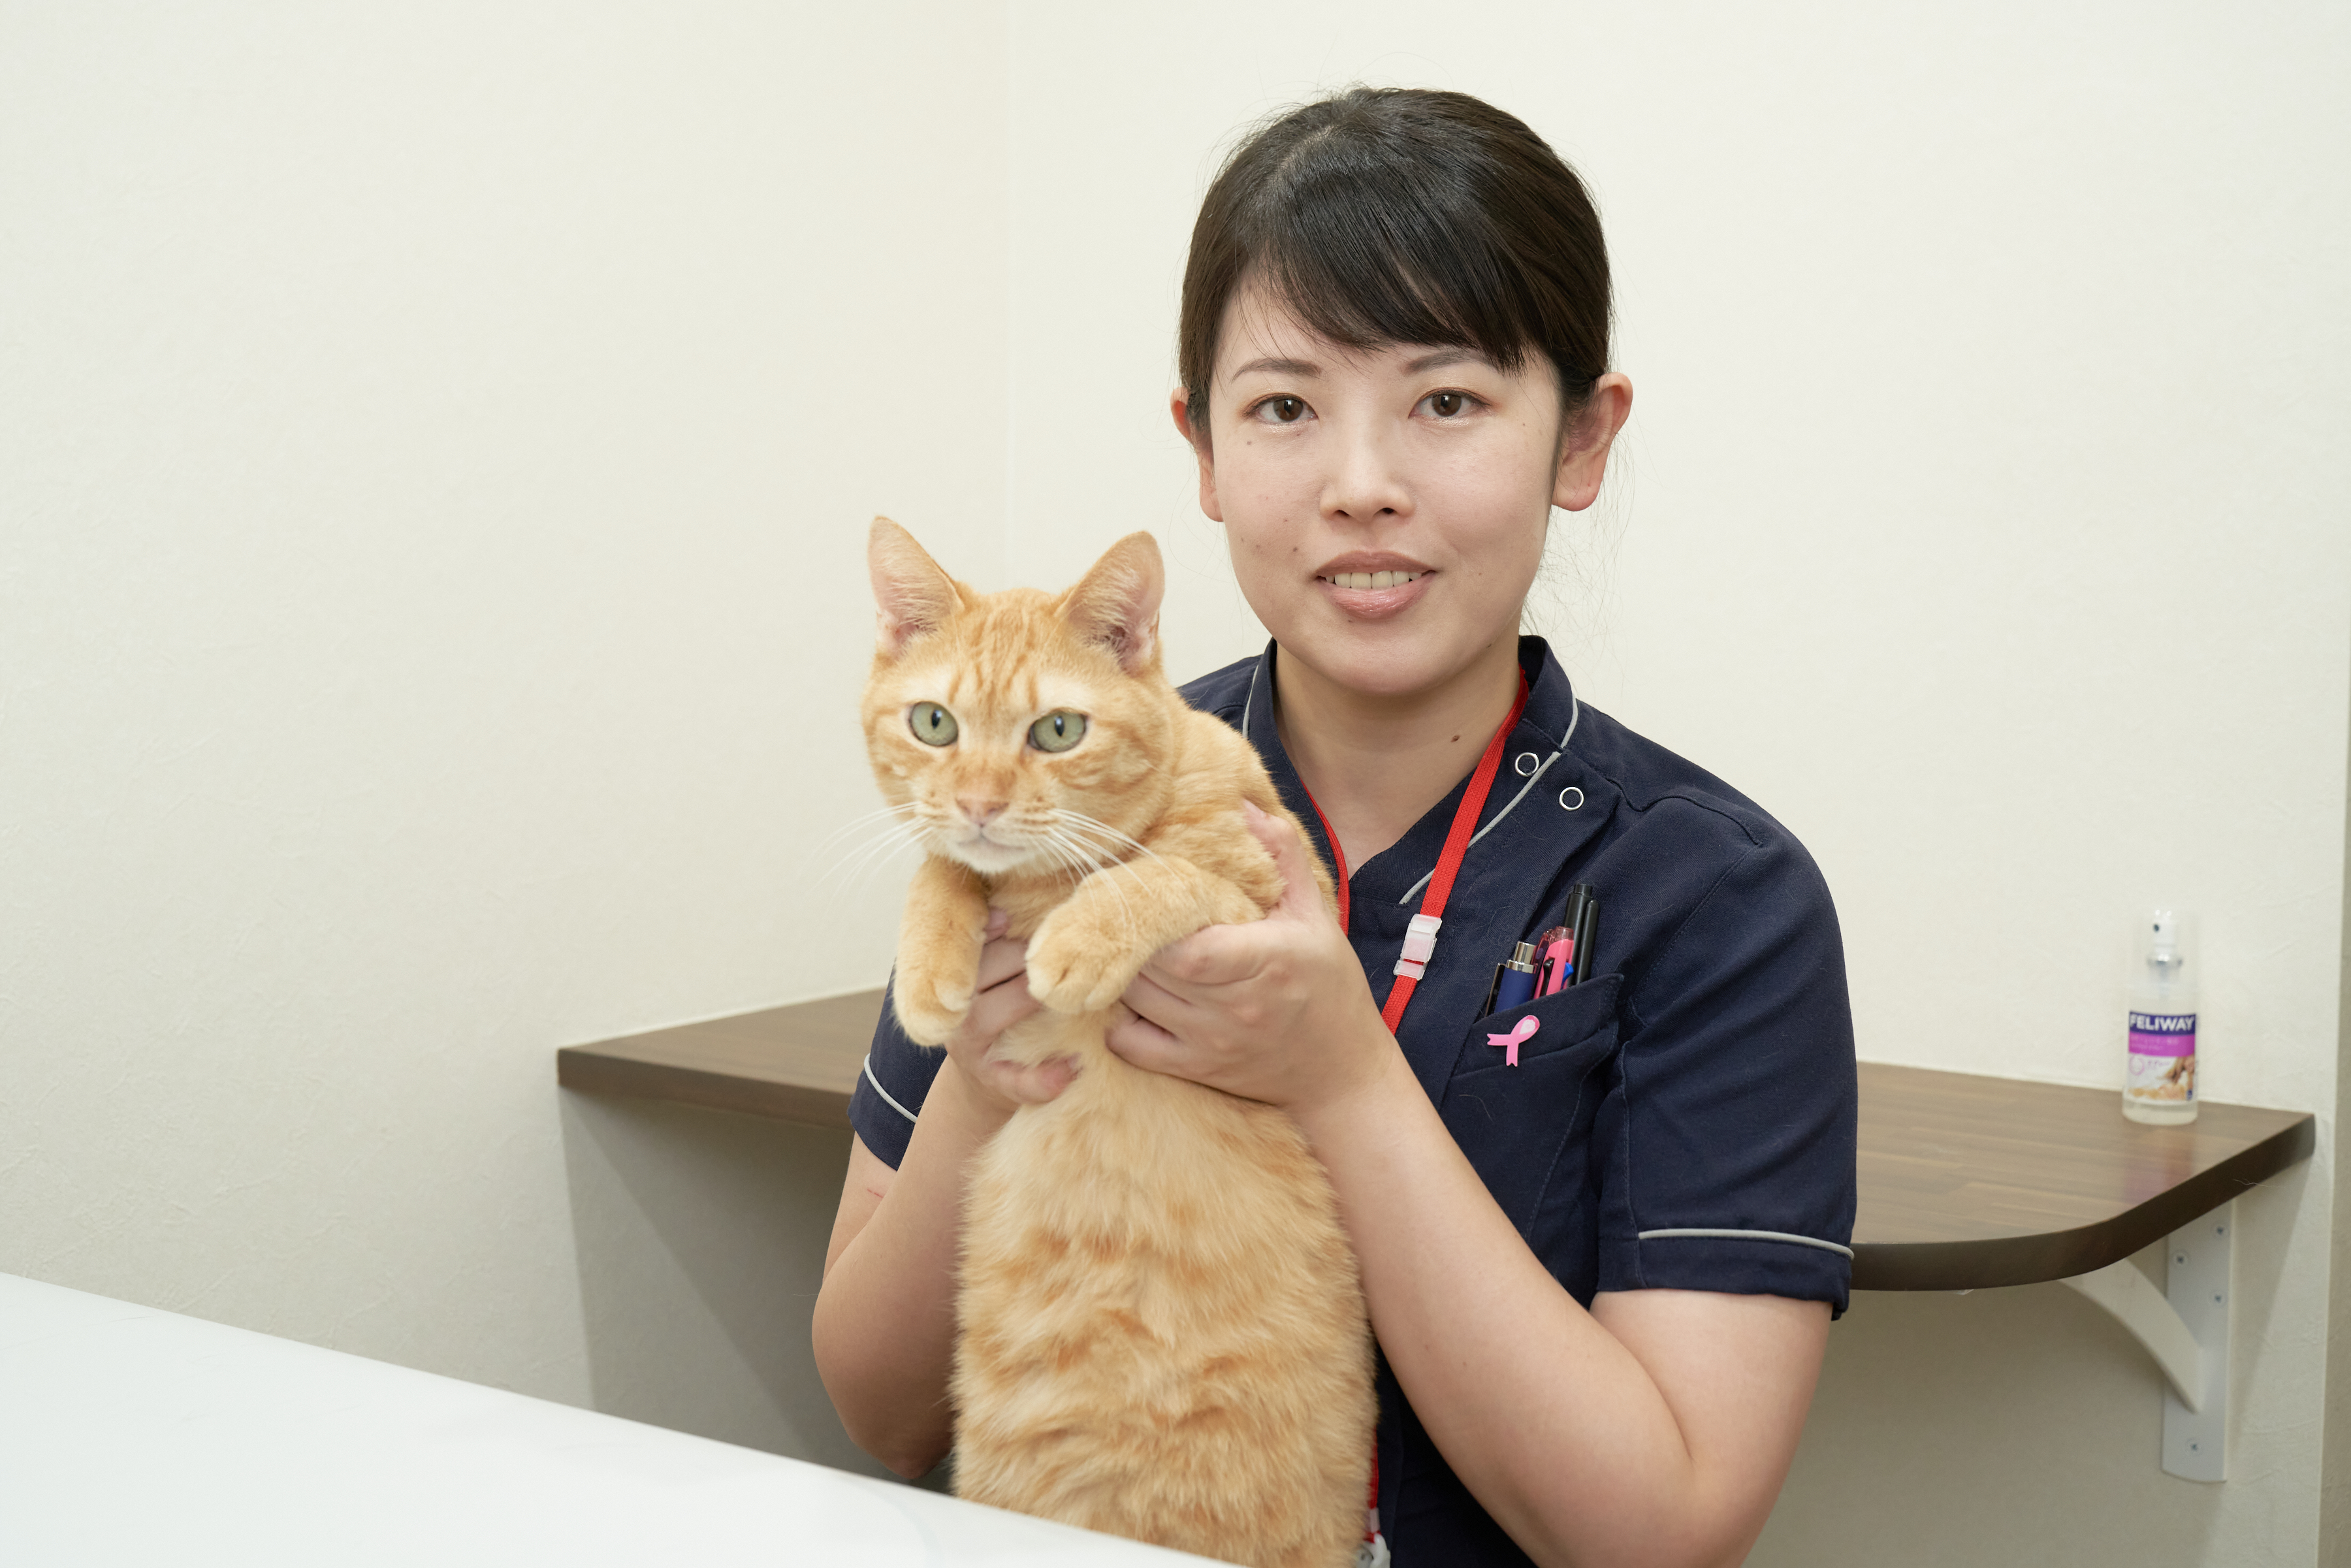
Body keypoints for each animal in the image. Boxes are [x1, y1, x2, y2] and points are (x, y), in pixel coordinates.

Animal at [865, 517, 1373, 1568]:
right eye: (934, 724)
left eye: (1058, 731)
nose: (980, 803)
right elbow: (944, 866)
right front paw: (931, 970)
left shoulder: (1268, 896)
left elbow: (1157, 875)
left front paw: (1079, 939)